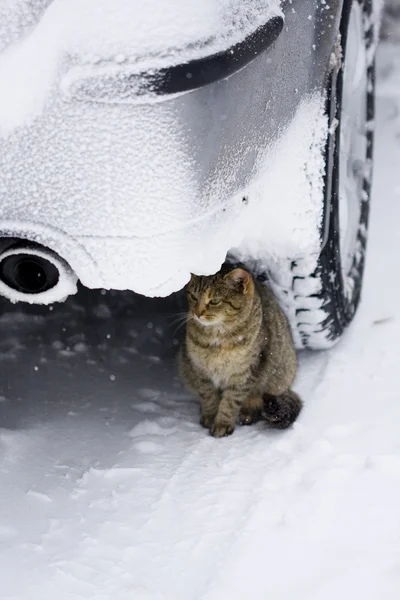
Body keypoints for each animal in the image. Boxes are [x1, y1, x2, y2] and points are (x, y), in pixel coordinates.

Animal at [180, 264, 302, 438]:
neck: (217, 339)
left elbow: (230, 401)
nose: (197, 313)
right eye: (193, 297)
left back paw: (248, 413)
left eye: (215, 301)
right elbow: (208, 396)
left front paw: (222, 424)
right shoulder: (199, 369)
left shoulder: (244, 373)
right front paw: (210, 416)